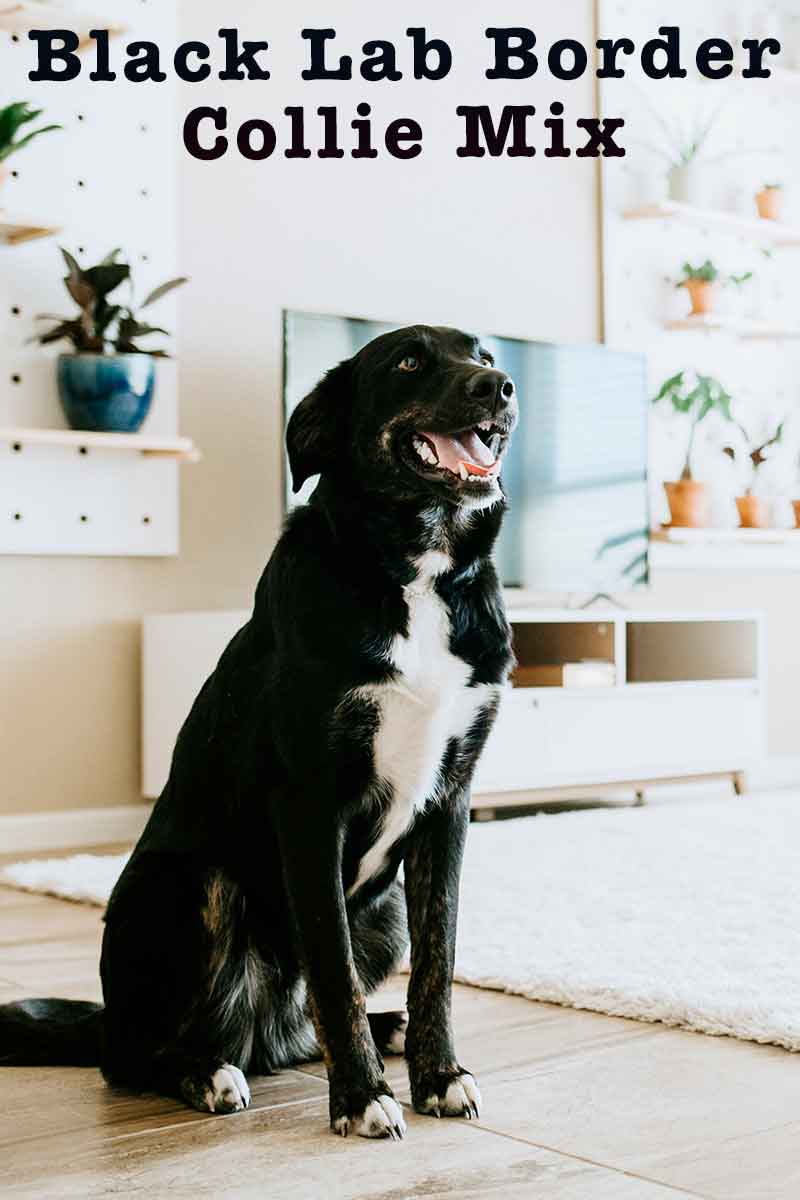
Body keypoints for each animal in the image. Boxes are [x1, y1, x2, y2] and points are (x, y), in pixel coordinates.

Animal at [0, 326, 520, 1142]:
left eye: (486, 355)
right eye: (408, 360)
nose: (499, 387)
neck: (416, 573)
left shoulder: (451, 803)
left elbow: (439, 964)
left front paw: (437, 1076)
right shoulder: (311, 805)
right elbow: (334, 971)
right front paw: (362, 1098)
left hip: (385, 915)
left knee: (302, 1024)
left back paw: (386, 1028)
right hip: (195, 885)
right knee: (138, 1057)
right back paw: (208, 1072)